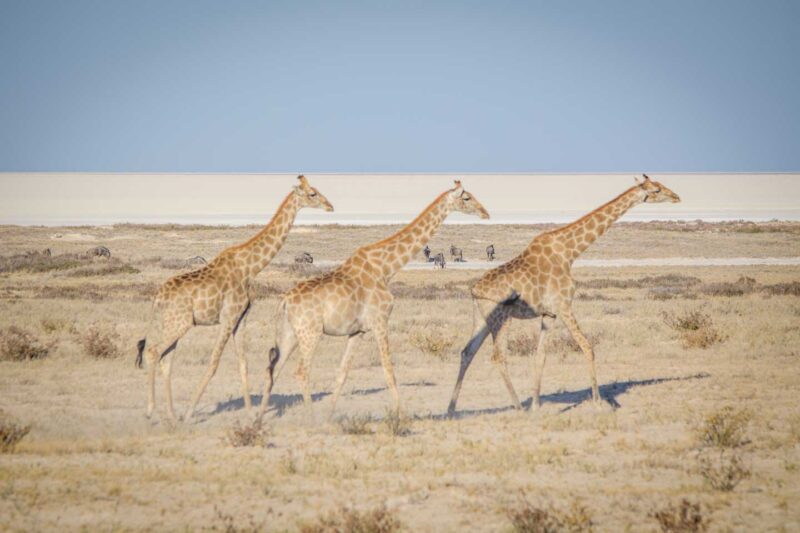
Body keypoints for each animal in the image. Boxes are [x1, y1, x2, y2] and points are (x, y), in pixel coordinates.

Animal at [136, 175, 332, 420]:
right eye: (312, 194)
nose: (330, 206)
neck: (250, 268)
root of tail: (158, 299)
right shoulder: (228, 316)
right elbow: (213, 363)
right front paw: (190, 413)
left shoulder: (241, 317)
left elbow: (243, 364)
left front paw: (250, 415)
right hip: (180, 323)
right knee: (153, 352)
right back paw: (151, 411)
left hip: (174, 323)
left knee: (166, 360)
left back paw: (171, 415)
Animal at [260, 181, 490, 418]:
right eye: (466, 198)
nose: (485, 213)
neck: (386, 268)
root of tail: (284, 302)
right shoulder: (380, 322)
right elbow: (388, 369)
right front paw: (401, 414)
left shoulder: (357, 331)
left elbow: (343, 372)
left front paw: (330, 416)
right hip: (310, 333)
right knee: (301, 371)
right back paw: (310, 418)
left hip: (289, 333)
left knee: (273, 368)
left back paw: (258, 419)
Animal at [446, 175, 680, 416]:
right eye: (656, 189)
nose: (676, 197)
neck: (569, 253)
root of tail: (474, 290)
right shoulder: (564, 306)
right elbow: (588, 347)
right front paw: (599, 403)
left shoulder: (549, 314)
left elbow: (540, 356)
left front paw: (537, 405)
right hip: (500, 317)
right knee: (498, 356)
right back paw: (518, 408)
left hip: (482, 317)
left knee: (466, 352)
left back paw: (451, 410)